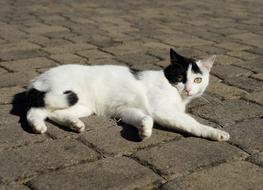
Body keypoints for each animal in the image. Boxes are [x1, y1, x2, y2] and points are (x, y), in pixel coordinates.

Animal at [25, 49, 230, 141]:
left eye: (197, 80)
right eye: (180, 77)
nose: (187, 88)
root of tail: (37, 78)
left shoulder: (126, 110)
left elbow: (145, 118)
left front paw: (144, 130)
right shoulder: (162, 111)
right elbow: (193, 124)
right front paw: (216, 133)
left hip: (80, 106)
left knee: (51, 113)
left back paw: (74, 124)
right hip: (60, 95)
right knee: (33, 111)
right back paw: (38, 127)